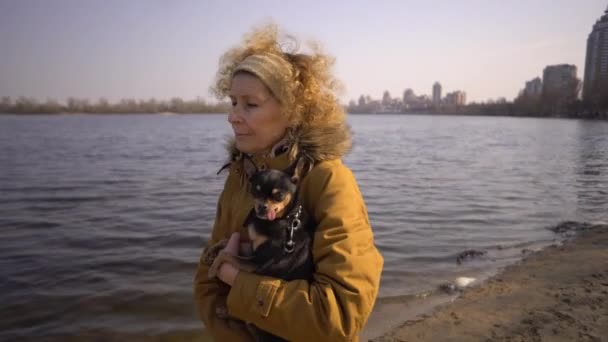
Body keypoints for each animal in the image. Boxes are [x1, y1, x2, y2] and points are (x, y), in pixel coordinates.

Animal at [208, 156, 314, 340]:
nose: (261, 207)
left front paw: (213, 269)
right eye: (255, 191)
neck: (283, 220)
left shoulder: (257, 263)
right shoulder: (253, 250)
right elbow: (229, 241)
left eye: (278, 195)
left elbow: (228, 256)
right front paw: (213, 251)